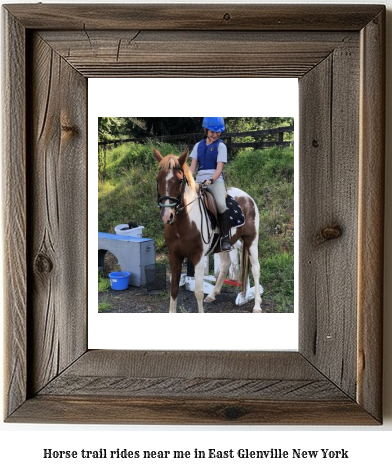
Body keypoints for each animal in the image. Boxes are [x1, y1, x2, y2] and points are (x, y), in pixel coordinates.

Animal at [155, 148, 262, 312]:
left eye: (179, 180)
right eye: (158, 179)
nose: (167, 215)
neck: (184, 222)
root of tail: (247, 197)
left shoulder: (197, 257)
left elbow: (198, 292)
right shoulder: (174, 256)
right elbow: (173, 289)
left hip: (251, 240)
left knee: (256, 269)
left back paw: (257, 305)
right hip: (225, 245)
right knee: (225, 265)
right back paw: (212, 294)